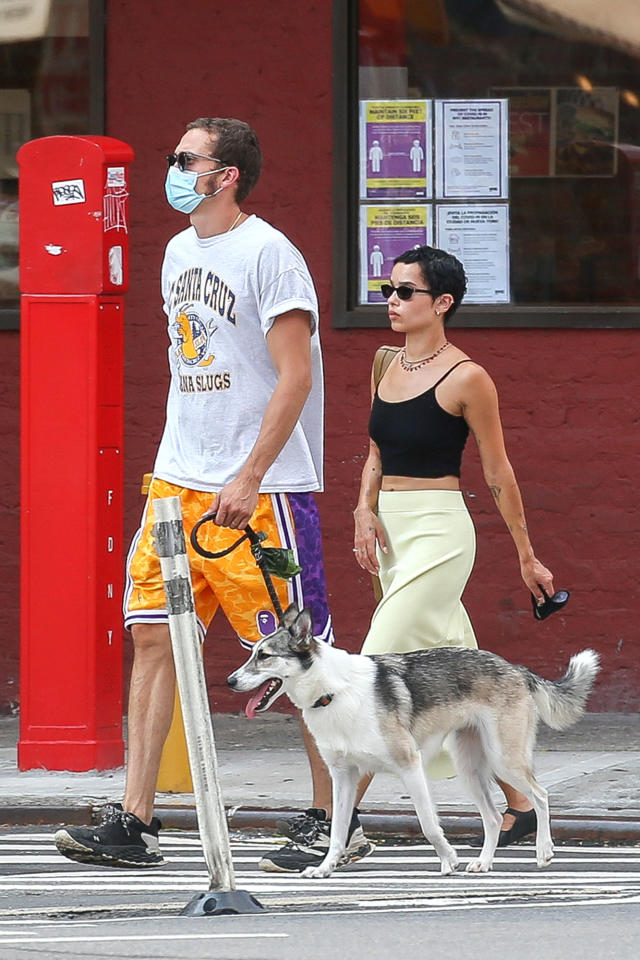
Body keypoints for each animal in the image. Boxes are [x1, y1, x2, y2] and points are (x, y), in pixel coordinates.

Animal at [229, 608, 600, 876]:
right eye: (253, 653)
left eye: (264, 656)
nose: (229, 681)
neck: (332, 691)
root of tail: (515, 668)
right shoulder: (343, 777)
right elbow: (336, 833)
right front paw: (323, 867)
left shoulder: (410, 765)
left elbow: (429, 824)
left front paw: (448, 859)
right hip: (469, 769)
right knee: (494, 817)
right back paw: (483, 862)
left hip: (503, 759)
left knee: (540, 795)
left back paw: (543, 851)